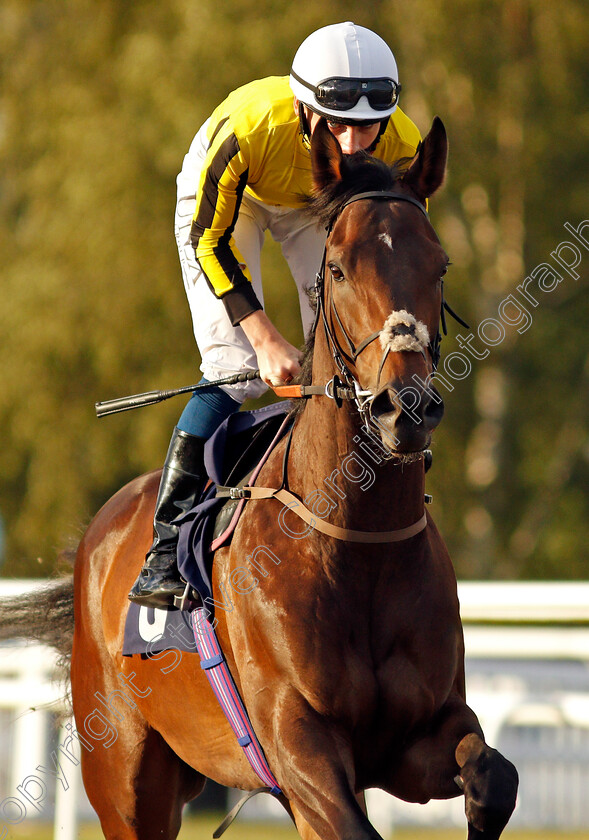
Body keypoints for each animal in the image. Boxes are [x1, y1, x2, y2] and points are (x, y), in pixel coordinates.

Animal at [2, 113, 516, 840]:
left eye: (439, 264)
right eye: (337, 268)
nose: (406, 408)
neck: (356, 543)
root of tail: (98, 537)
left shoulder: (414, 738)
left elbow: (494, 775)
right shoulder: (294, 741)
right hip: (127, 776)